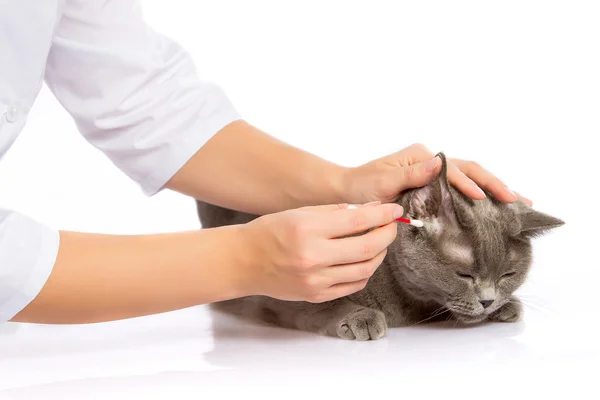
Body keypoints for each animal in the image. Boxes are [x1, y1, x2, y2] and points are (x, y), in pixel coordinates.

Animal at [196, 154, 564, 340]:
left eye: (507, 275)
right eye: (464, 274)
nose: (488, 301)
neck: (410, 302)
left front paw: (506, 305)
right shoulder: (281, 298)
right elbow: (319, 306)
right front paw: (359, 317)